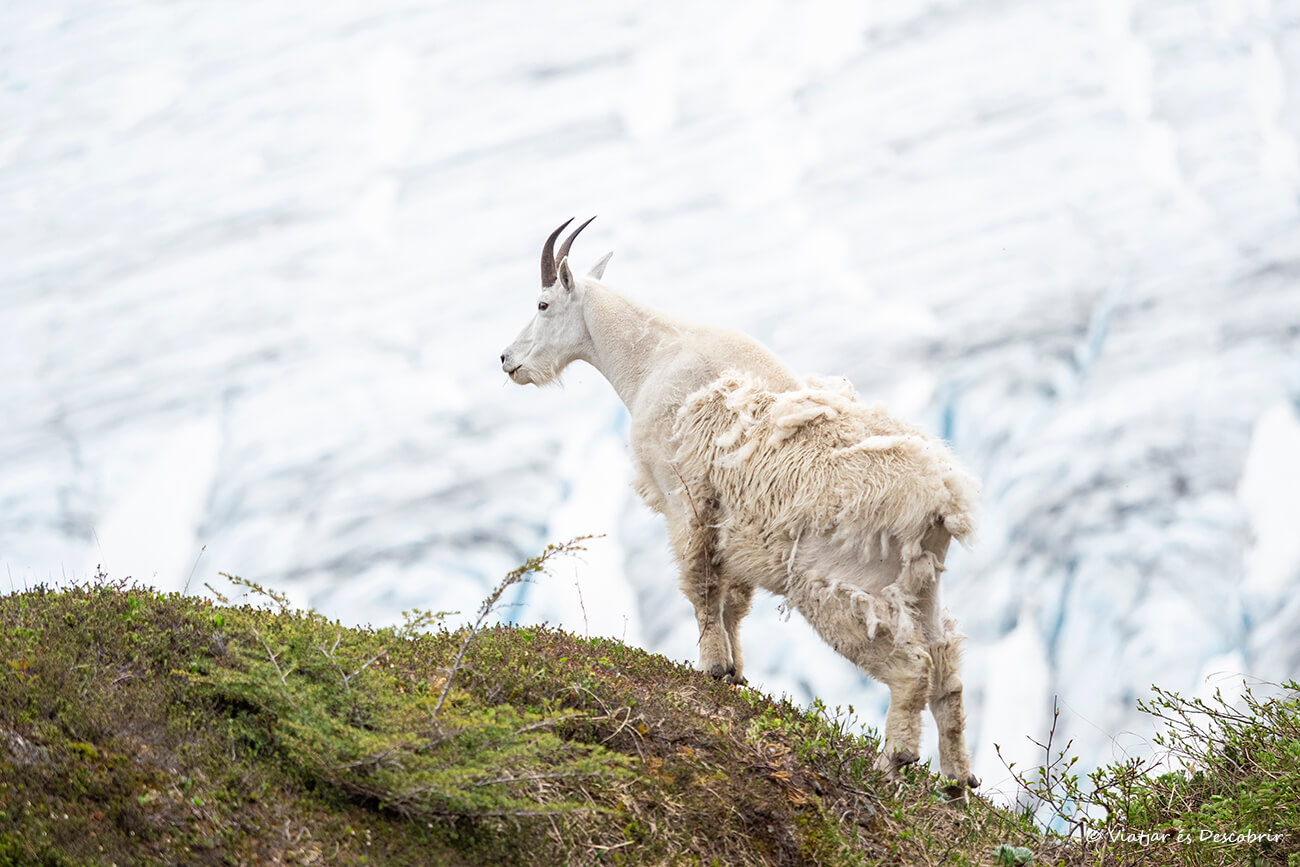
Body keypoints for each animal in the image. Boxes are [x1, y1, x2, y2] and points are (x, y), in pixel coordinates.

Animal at [500, 218, 980, 797]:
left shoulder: (687, 502)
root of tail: (942, 501)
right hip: (923, 586)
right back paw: (957, 783)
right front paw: (735, 672)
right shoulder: (735, 528)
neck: (651, 355)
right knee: (947, 668)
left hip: (842, 585)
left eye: (544, 303)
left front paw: (711, 666)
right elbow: (733, 600)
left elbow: (702, 585)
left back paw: (891, 764)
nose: (507, 360)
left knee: (913, 667)